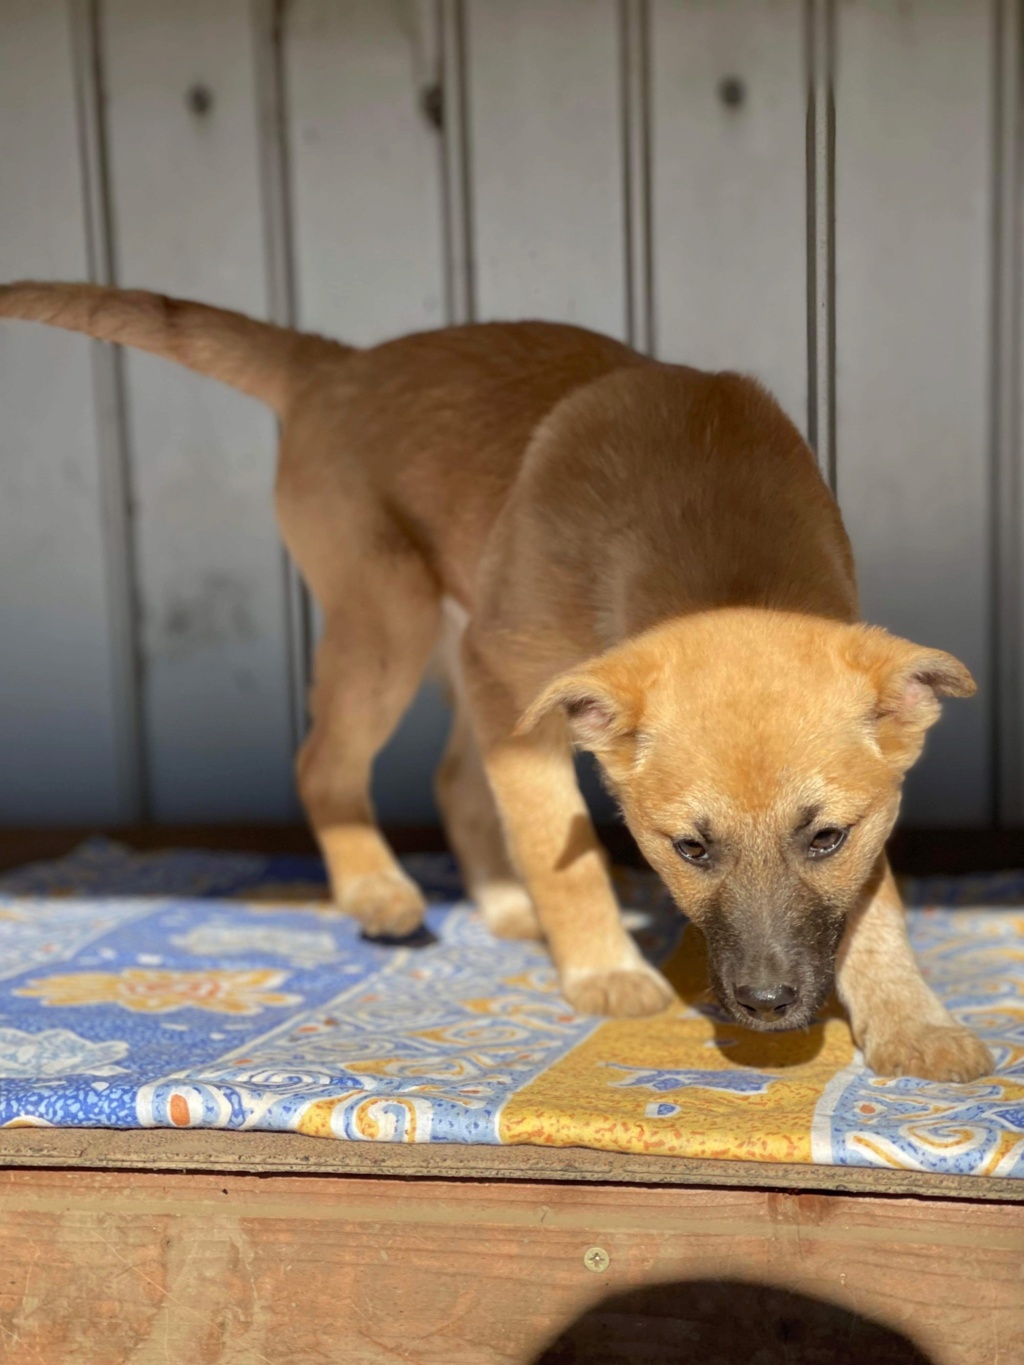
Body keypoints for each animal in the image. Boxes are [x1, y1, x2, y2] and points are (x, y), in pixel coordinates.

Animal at [0, 282, 993, 1081]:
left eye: (826, 837)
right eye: (688, 848)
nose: (767, 1005)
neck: (719, 537)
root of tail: (339, 364)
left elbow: (876, 901)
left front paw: (911, 1019)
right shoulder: (516, 680)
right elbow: (560, 842)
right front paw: (603, 967)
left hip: (450, 636)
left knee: (449, 776)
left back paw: (504, 901)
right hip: (394, 620)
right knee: (326, 762)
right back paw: (377, 888)